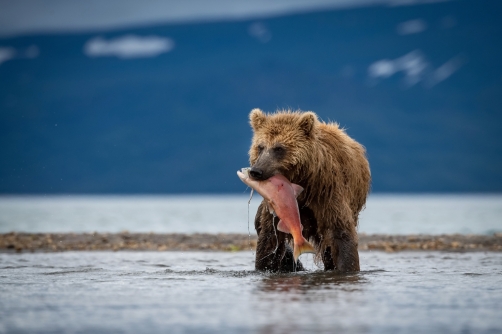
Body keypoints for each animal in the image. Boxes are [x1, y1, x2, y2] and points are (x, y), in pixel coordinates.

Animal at [248, 108, 370, 272]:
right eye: (260, 147)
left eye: (279, 148)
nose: (256, 171)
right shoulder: (277, 207)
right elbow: (270, 239)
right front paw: (265, 266)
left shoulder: (327, 192)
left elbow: (339, 233)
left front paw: (347, 268)